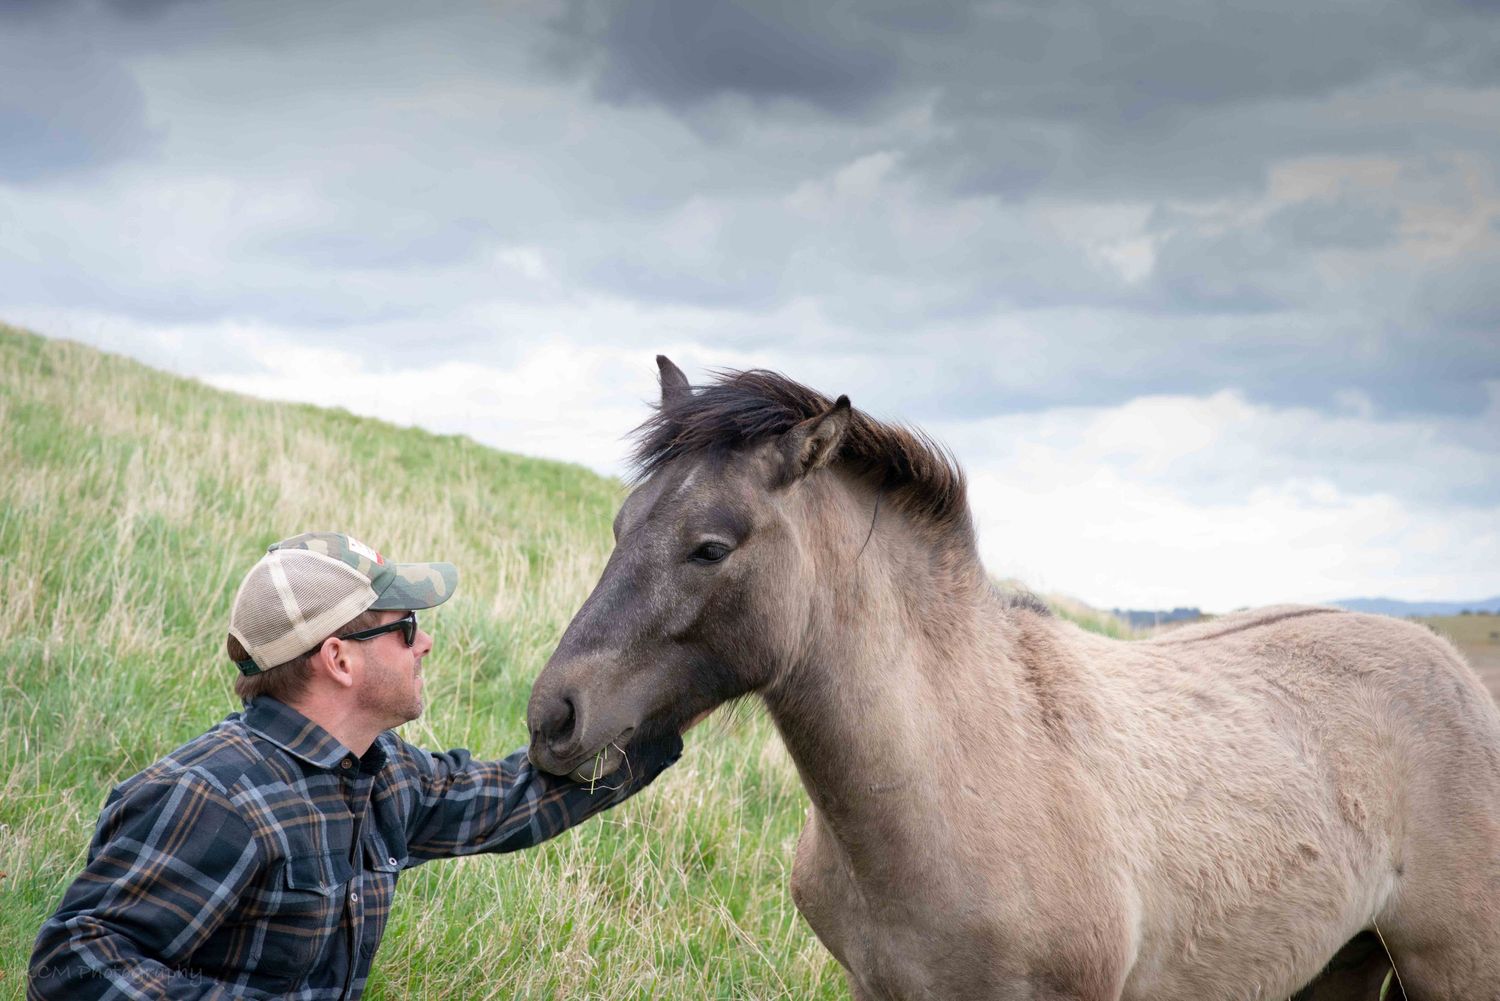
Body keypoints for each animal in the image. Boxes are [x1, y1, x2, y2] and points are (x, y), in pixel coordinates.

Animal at [526, 357, 1500, 1000]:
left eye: (711, 546)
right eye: (620, 522)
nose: (552, 717)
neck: (957, 777)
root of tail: (1456, 671)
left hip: (1453, 970)